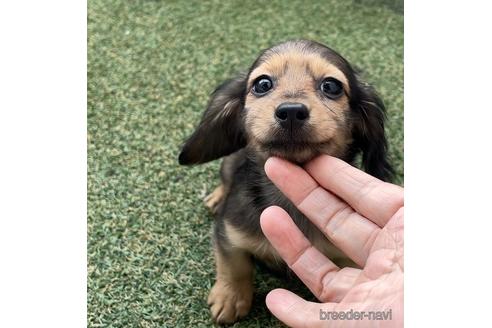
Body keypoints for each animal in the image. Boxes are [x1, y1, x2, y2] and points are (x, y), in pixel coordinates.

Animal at [177, 39, 392, 324]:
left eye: (332, 86)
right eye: (262, 84)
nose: (291, 111)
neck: (286, 199)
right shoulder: (228, 231)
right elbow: (234, 264)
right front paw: (230, 297)